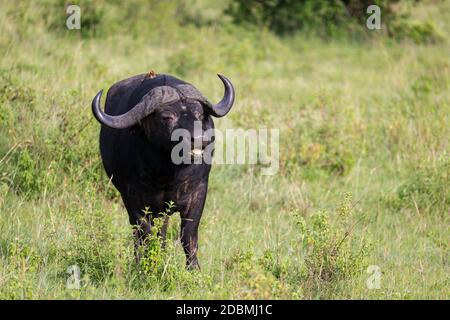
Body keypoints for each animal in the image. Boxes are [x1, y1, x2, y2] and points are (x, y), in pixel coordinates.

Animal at [93, 73, 237, 270]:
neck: (167, 174)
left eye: (199, 114)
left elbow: (188, 236)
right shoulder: (132, 199)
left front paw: (194, 270)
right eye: (167, 117)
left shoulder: (198, 193)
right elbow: (146, 235)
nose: (199, 139)